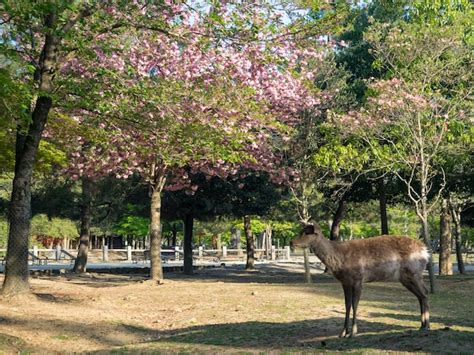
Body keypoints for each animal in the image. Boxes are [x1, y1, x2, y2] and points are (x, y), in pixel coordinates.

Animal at [288, 224, 430, 338]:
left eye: (307, 232)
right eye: (301, 230)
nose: (291, 242)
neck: (339, 260)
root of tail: (426, 251)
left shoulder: (358, 279)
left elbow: (355, 304)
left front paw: (353, 332)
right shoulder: (345, 282)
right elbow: (347, 305)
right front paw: (342, 333)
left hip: (414, 273)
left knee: (424, 293)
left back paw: (426, 325)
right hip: (406, 278)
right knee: (421, 295)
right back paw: (422, 325)